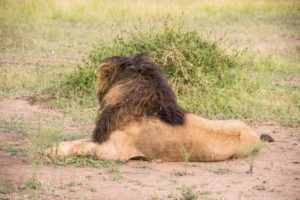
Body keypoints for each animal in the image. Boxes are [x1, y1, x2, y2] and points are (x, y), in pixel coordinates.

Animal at [44, 52, 262, 161]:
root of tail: (257, 136)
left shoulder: (114, 152)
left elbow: (82, 147)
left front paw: (50, 151)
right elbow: (76, 142)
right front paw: (54, 146)